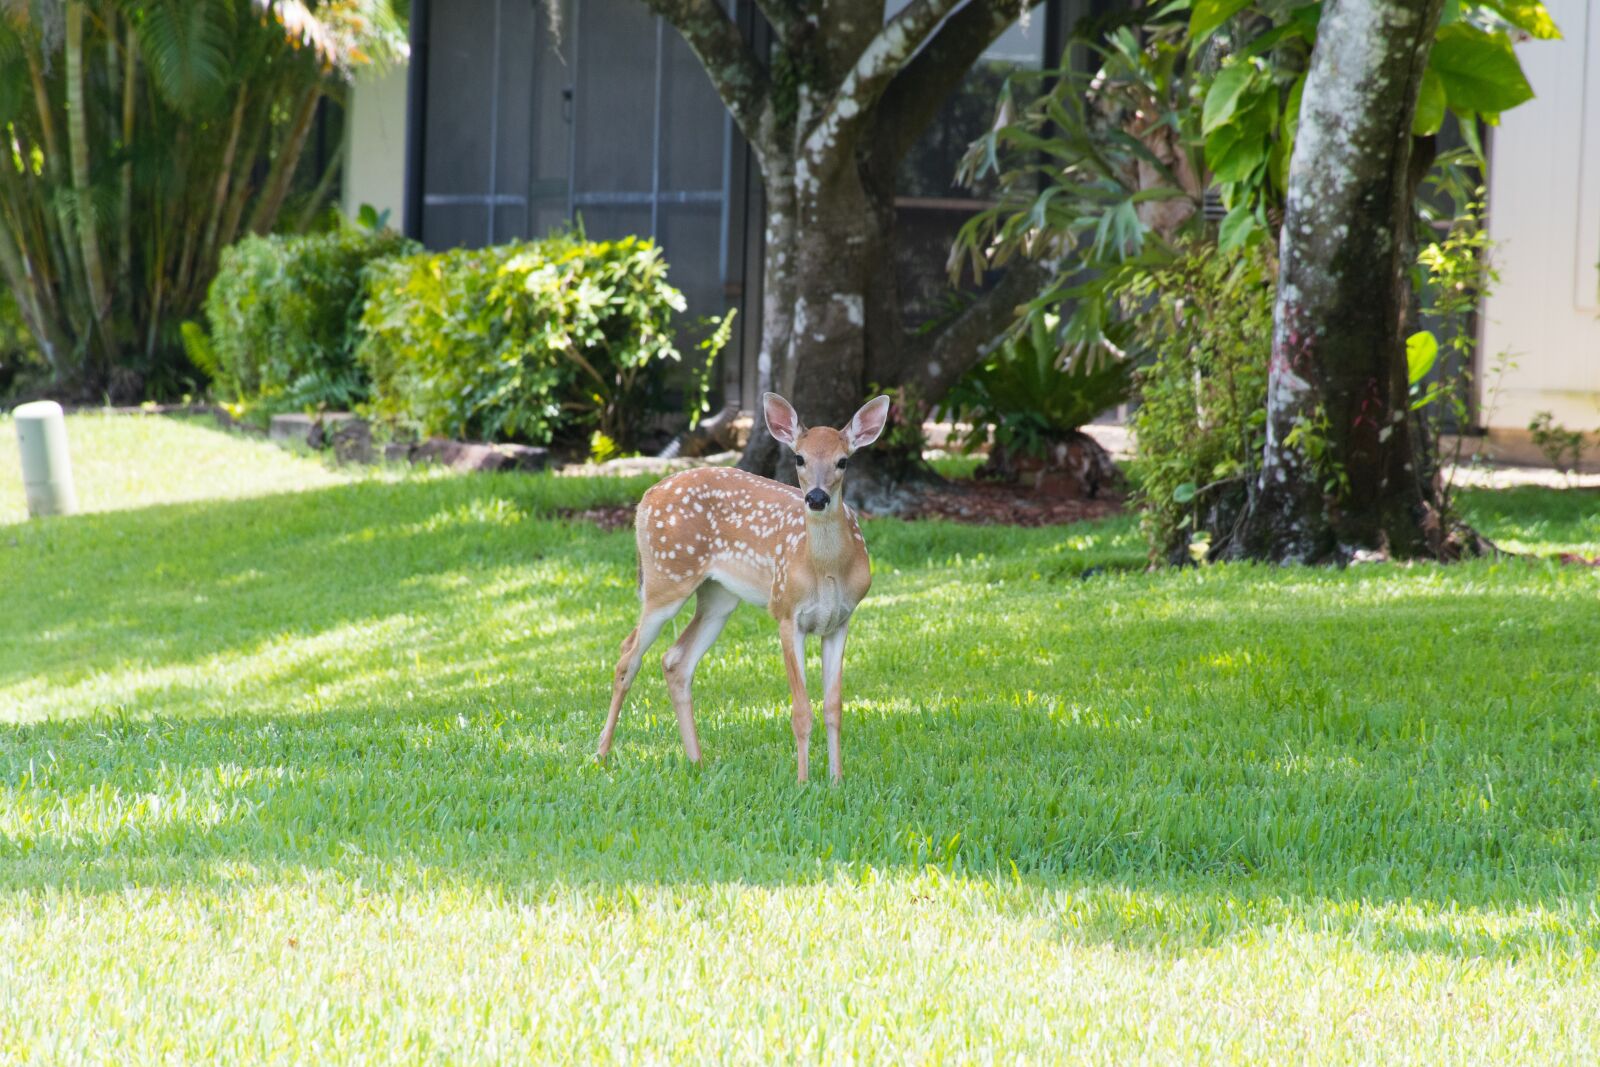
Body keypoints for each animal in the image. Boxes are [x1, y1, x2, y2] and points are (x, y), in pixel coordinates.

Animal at [596, 392, 891, 783]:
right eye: (799, 457)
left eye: (843, 461)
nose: (816, 498)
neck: (825, 570)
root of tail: (645, 498)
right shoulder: (785, 611)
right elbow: (801, 710)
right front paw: (803, 782)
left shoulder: (840, 621)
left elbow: (834, 707)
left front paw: (836, 780)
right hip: (666, 578)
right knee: (628, 656)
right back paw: (601, 755)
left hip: (719, 597)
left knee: (675, 660)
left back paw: (697, 761)